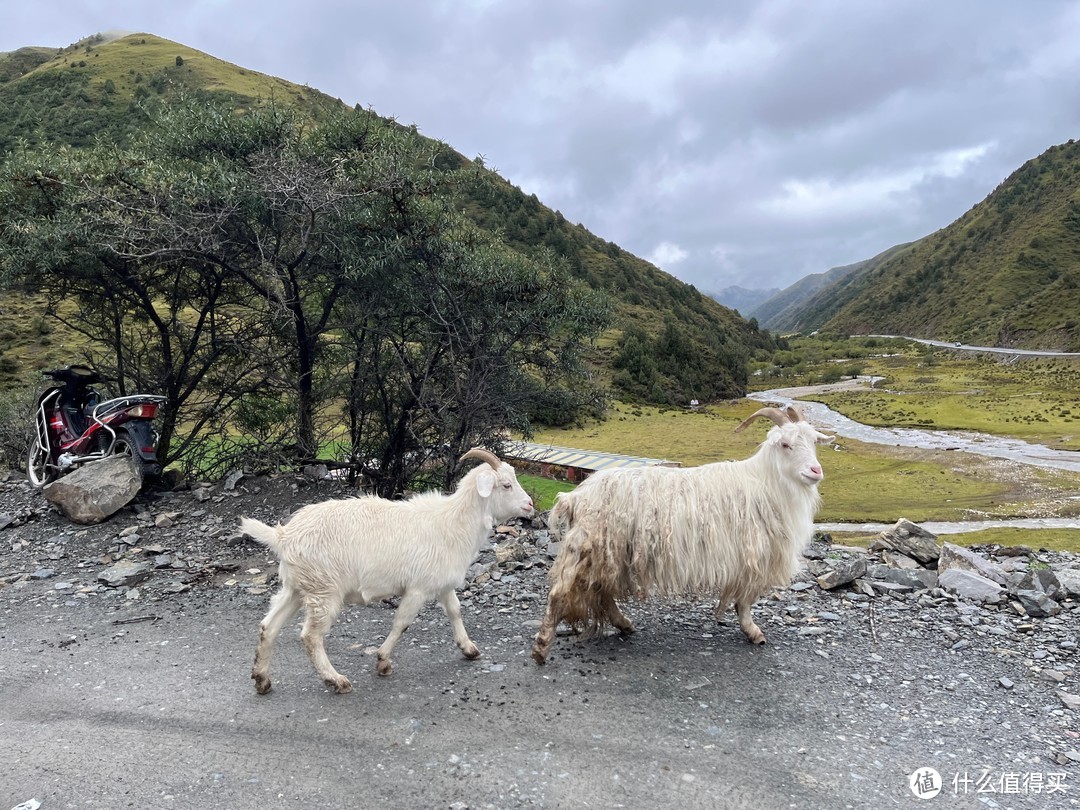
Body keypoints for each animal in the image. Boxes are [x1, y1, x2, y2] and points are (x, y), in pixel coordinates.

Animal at [243, 447, 533, 695]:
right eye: (506, 485)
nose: (530, 505)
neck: (453, 521)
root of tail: (283, 536)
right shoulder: (418, 588)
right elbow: (402, 623)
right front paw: (382, 661)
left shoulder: (441, 583)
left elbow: (455, 611)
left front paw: (469, 649)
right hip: (323, 590)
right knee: (311, 636)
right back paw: (335, 680)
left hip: (297, 587)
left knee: (268, 626)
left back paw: (262, 679)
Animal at [533, 406, 833, 665]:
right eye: (785, 445)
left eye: (814, 442)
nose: (816, 471)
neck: (765, 482)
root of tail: (575, 496)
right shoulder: (752, 556)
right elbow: (745, 601)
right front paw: (754, 632)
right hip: (590, 548)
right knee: (561, 593)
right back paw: (541, 647)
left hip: (608, 555)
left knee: (602, 593)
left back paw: (625, 625)